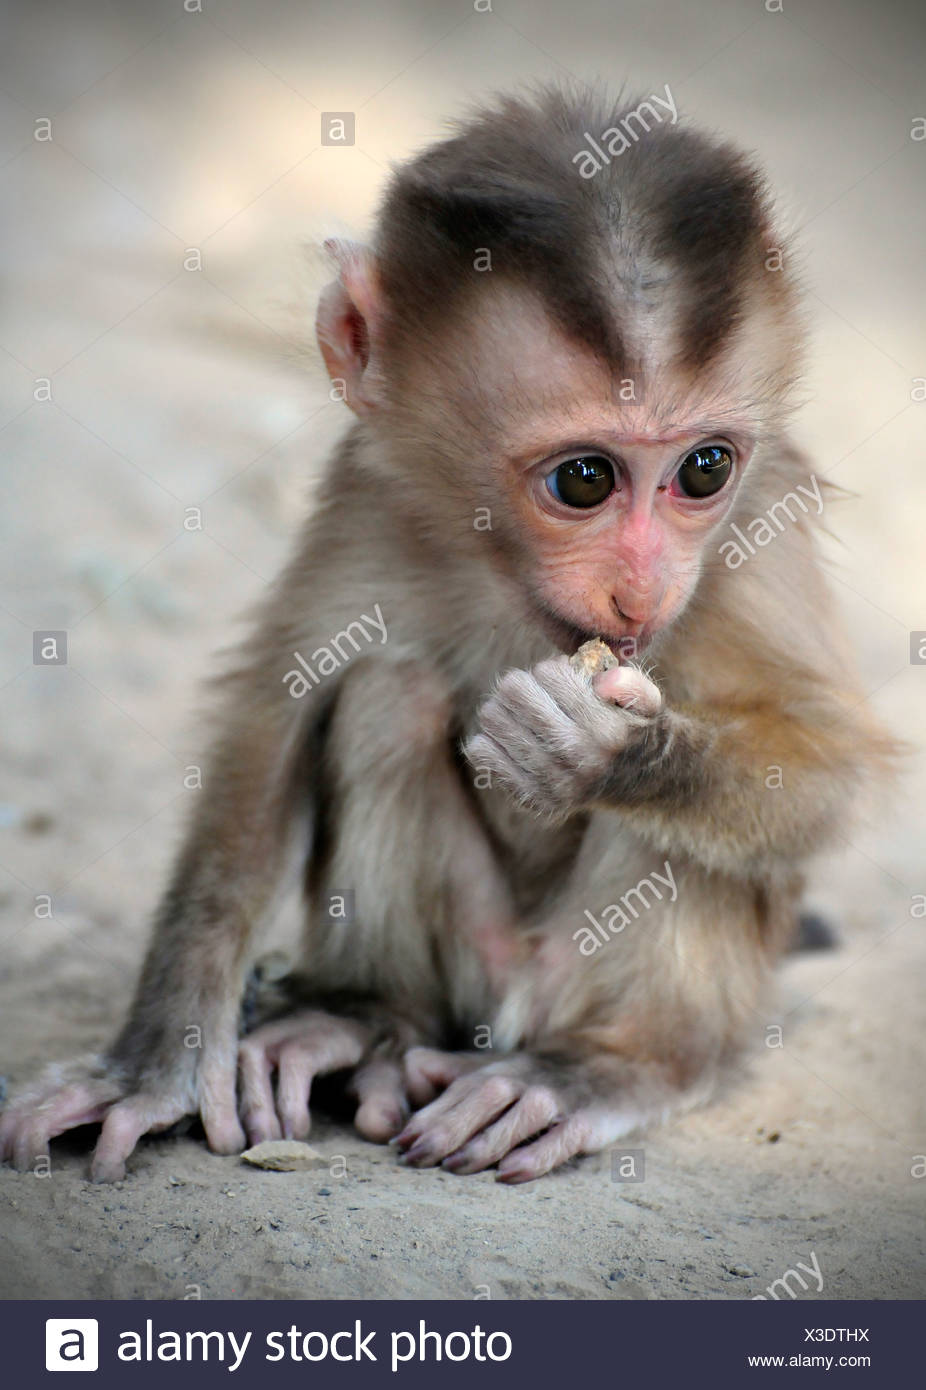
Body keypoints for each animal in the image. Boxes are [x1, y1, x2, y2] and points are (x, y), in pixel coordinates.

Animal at [0, 85, 893, 1184]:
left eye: (704, 468)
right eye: (584, 480)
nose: (642, 589)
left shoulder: (761, 522)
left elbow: (828, 767)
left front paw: (609, 751)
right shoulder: (370, 490)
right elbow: (273, 722)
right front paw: (152, 1064)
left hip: (573, 977)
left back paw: (610, 1066)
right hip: (473, 963)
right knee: (387, 696)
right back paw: (360, 1019)